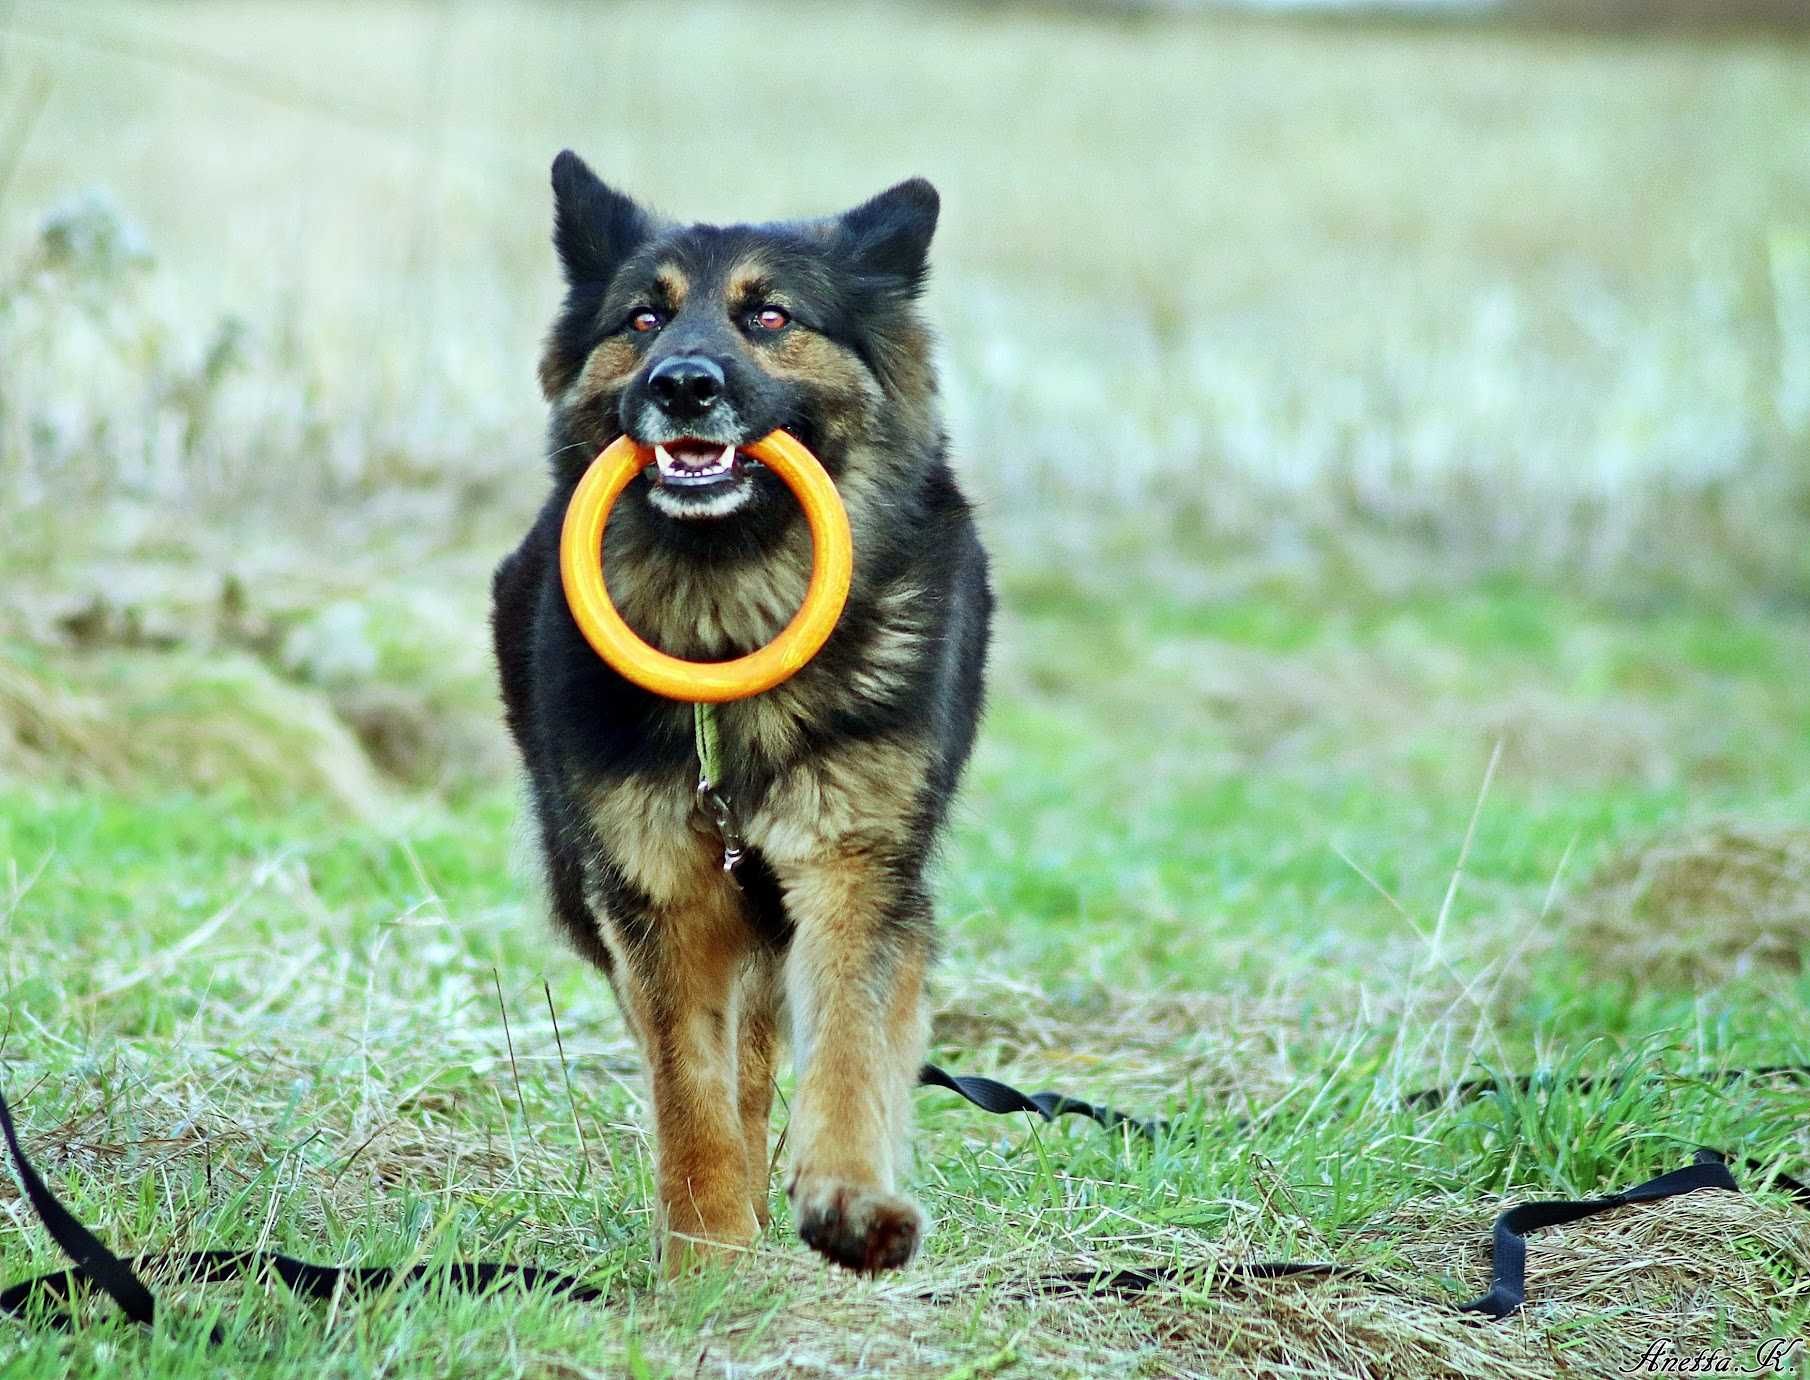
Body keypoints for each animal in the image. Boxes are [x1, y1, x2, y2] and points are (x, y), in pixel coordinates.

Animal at [492, 150, 991, 1267]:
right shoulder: (659, 894)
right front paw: (710, 1253)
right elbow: (690, 1088)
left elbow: (849, 1044)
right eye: (644, 317)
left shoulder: (857, 872)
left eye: (768, 316)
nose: (682, 383)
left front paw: (848, 1198)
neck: (727, 637)